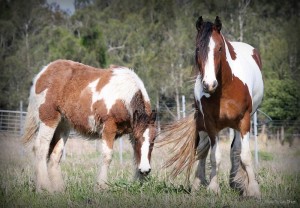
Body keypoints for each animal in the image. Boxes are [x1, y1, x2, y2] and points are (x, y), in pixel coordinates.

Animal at [22, 59, 156, 193]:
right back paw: (45, 187)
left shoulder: (133, 130)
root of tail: (44, 72)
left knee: (55, 153)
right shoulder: (109, 128)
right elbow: (107, 156)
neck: (124, 95)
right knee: (41, 147)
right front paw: (101, 186)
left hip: (63, 125)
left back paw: (59, 189)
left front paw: (139, 185)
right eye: (138, 140)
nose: (145, 170)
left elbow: (136, 157)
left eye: (153, 141)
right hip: (49, 119)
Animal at [159, 16, 262, 198]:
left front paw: (253, 189)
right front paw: (213, 187)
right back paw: (197, 183)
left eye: (220, 48)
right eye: (197, 48)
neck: (226, 89)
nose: (209, 84)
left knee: (235, 149)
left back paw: (236, 183)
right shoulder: (210, 123)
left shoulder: (244, 121)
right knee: (202, 150)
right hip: (201, 123)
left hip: (238, 125)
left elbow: (245, 155)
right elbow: (214, 156)